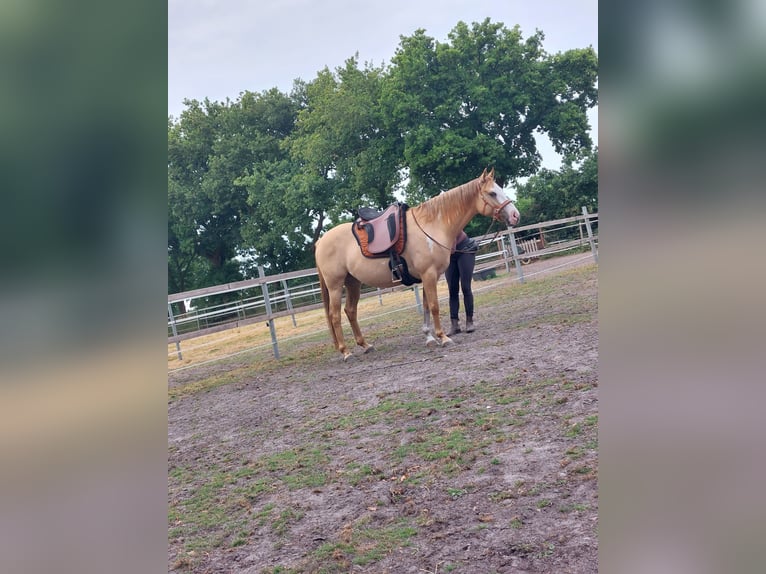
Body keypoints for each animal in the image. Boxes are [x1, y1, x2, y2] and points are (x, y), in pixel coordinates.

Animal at [314, 168, 520, 360]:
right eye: (492, 193)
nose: (515, 216)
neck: (432, 226)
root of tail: (320, 242)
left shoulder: (428, 276)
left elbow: (427, 307)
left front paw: (429, 337)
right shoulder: (429, 274)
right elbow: (435, 306)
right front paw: (443, 337)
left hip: (353, 283)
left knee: (350, 311)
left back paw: (365, 345)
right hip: (335, 285)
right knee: (335, 316)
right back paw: (346, 351)